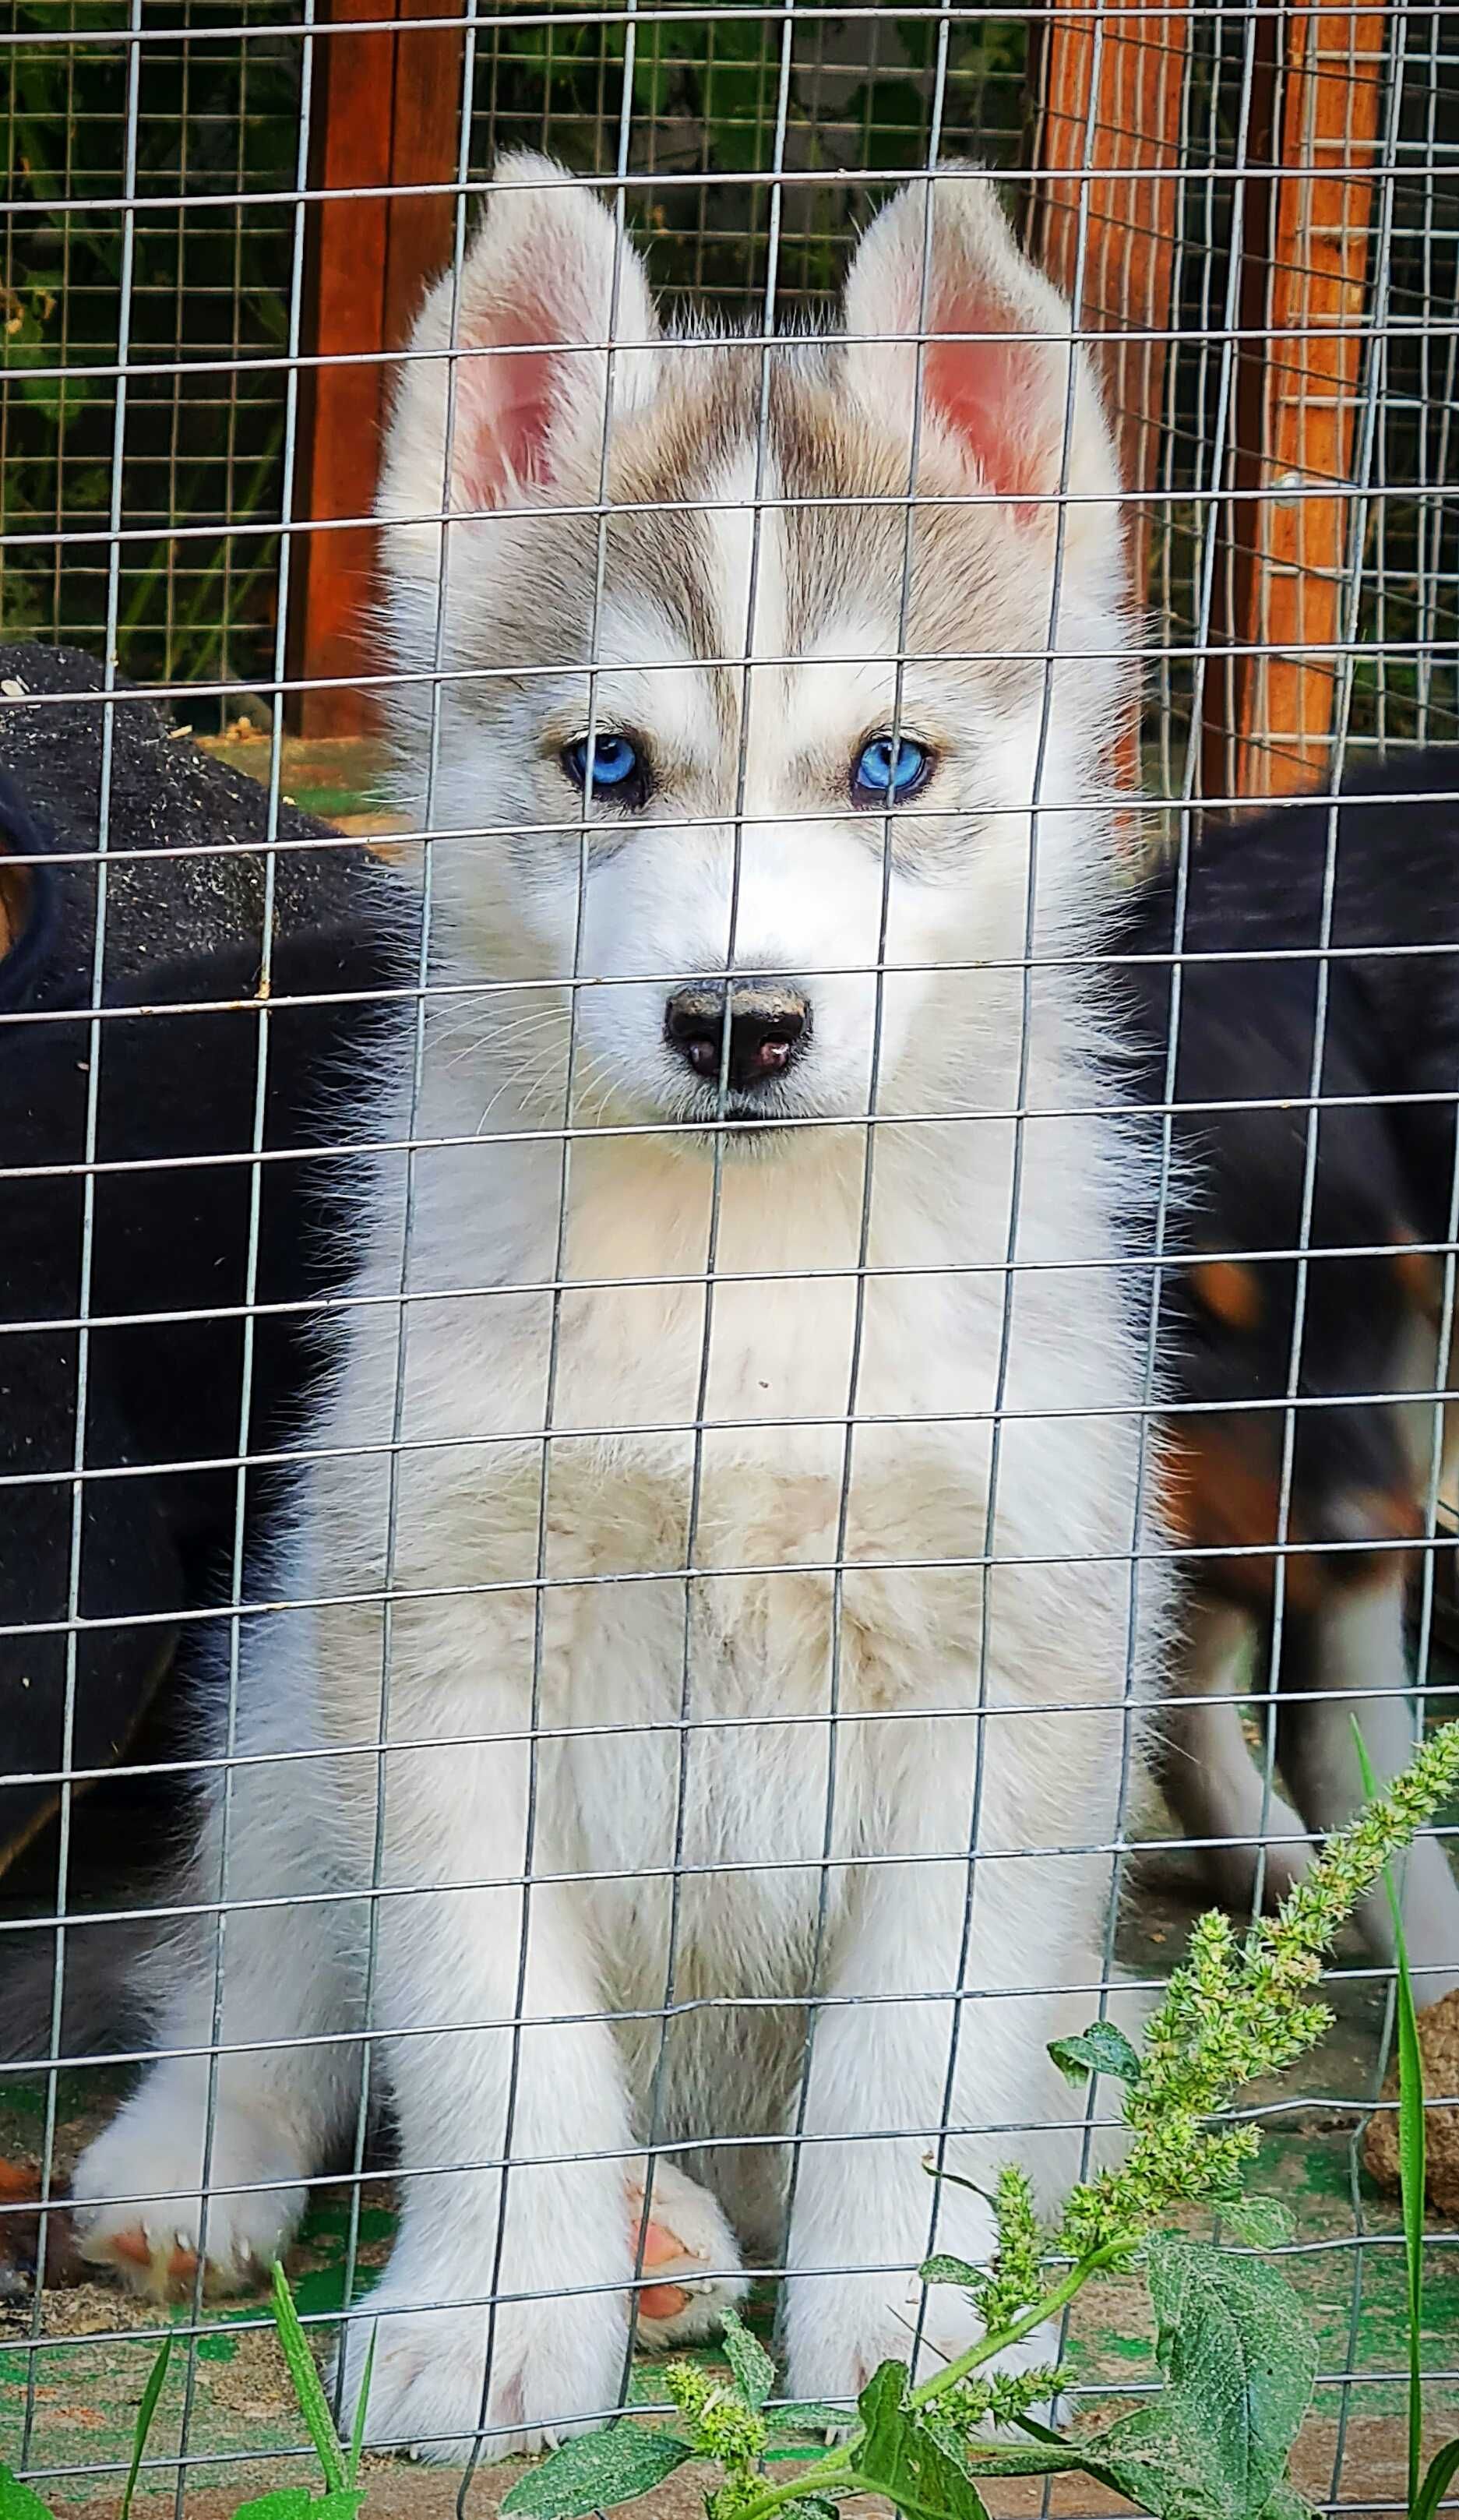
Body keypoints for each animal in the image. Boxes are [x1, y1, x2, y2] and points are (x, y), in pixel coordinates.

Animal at [77, 157, 1174, 2459]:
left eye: (888, 765)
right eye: (608, 763)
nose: (737, 1024)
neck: (733, 1294)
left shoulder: (1008, 1675)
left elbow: (907, 2075)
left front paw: (916, 2329)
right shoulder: (436, 1644)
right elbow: (492, 2048)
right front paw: (502, 2307)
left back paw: (728, 2238)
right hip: (286, 1723)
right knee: (255, 1998)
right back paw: (205, 2180)